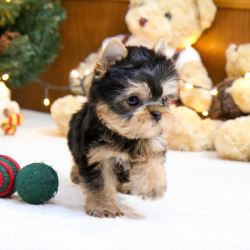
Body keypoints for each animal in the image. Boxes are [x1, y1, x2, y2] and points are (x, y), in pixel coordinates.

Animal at [67, 38, 179, 217]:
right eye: (133, 100)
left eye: (164, 100)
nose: (157, 114)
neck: (126, 135)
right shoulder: (97, 156)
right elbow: (100, 183)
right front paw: (104, 207)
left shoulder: (153, 142)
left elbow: (151, 161)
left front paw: (153, 186)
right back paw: (76, 174)